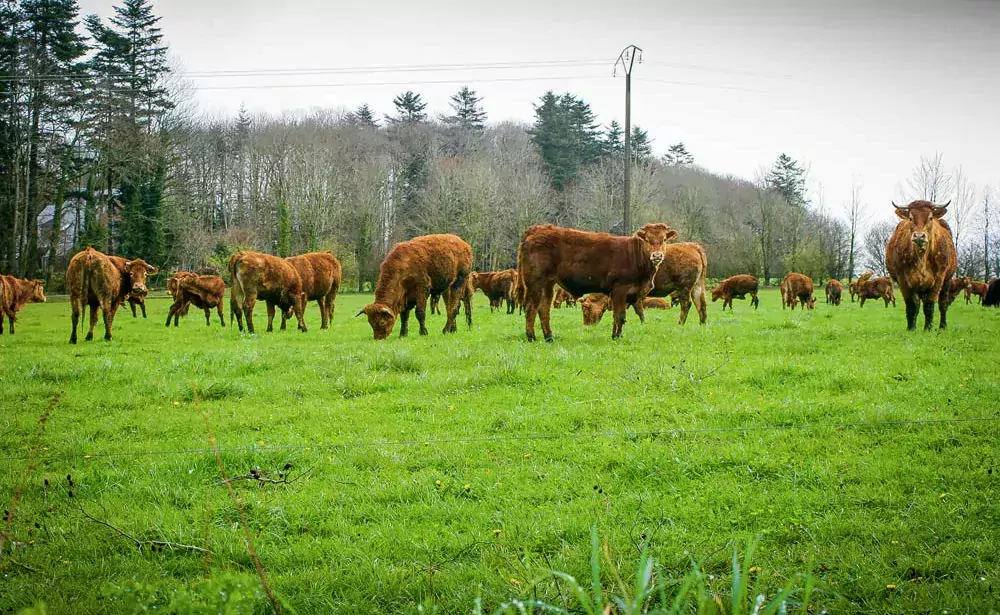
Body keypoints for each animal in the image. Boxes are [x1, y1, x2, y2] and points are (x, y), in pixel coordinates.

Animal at [516, 223, 672, 342]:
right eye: (647, 239)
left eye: (664, 239)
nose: (657, 255)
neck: (634, 254)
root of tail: (535, 229)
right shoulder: (620, 289)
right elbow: (620, 315)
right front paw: (617, 337)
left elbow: (616, 315)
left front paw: (615, 335)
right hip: (535, 283)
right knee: (531, 308)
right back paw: (531, 337)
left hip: (548, 284)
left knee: (543, 309)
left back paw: (549, 337)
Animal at [888, 200, 956, 330]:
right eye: (910, 218)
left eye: (930, 218)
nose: (919, 236)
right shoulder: (903, 279)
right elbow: (911, 306)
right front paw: (911, 328)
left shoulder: (938, 279)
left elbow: (929, 305)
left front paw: (928, 329)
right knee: (918, 304)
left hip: (947, 281)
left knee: (943, 304)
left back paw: (942, 326)